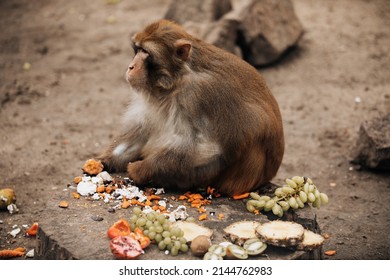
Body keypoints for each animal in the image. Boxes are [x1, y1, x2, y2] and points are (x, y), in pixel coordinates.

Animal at [98, 19, 284, 196]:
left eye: (146, 53)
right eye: (137, 50)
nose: (131, 67)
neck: (175, 80)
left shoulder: (198, 94)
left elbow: (208, 148)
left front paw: (141, 169)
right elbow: (142, 124)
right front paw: (106, 160)